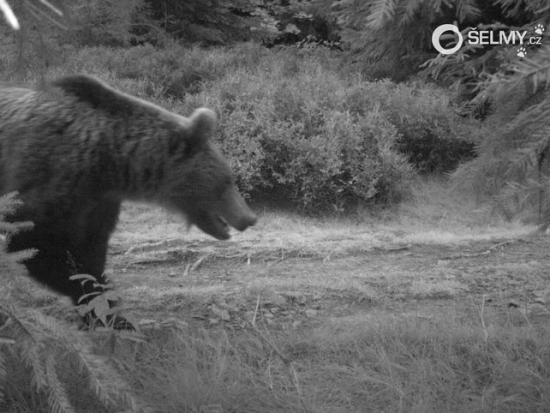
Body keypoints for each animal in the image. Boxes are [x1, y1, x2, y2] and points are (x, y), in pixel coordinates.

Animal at [0, 74, 258, 326]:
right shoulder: (48, 179)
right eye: (227, 180)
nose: (250, 218)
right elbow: (35, 243)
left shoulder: (96, 204)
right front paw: (102, 305)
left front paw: (108, 313)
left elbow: (90, 251)